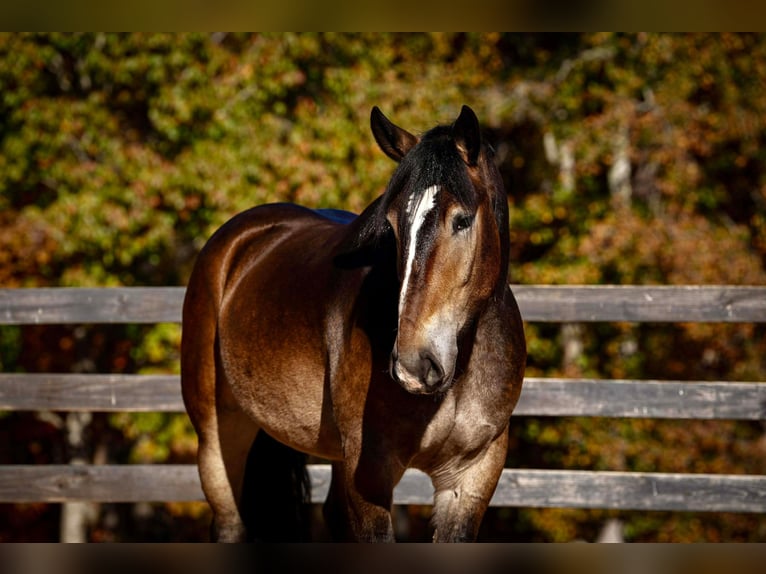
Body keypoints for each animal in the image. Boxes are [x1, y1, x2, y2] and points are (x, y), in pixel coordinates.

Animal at [181, 105, 526, 542]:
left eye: (462, 221)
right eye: (392, 225)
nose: (414, 365)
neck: (461, 369)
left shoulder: (473, 475)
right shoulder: (370, 473)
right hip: (217, 437)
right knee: (228, 520)